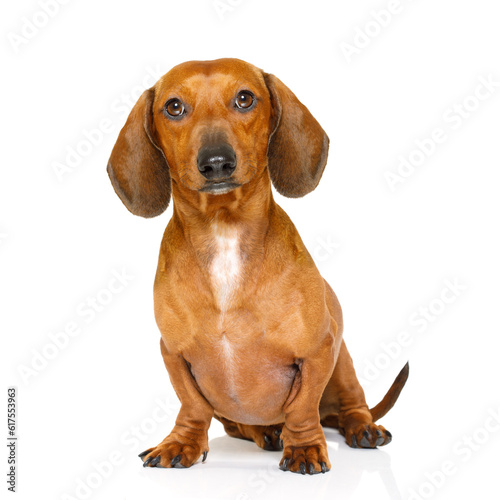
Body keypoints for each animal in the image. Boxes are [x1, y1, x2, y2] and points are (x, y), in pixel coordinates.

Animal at [107, 56, 408, 474]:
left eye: (245, 99)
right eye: (174, 107)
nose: (216, 162)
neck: (224, 231)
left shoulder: (317, 351)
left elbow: (302, 408)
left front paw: (304, 447)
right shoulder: (174, 353)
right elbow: (193, 406)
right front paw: (180, 443)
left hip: (342, 364)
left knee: (350, 404)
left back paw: (361, 427)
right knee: (239, 425)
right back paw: (266, 432)